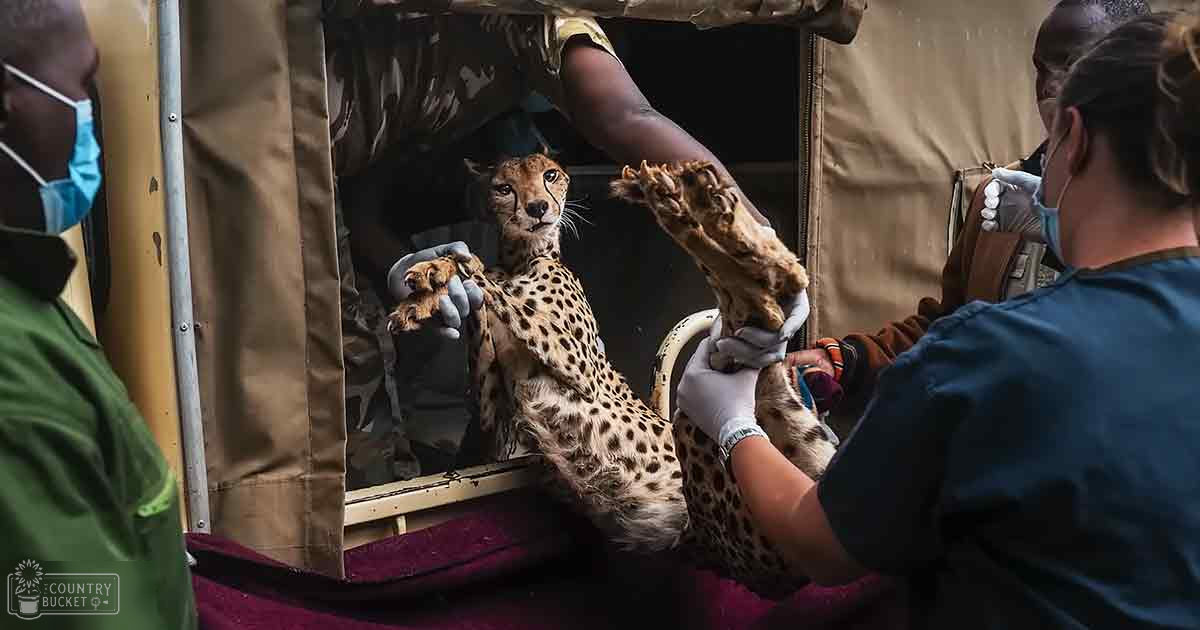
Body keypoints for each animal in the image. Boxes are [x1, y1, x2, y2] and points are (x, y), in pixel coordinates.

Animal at [389, 152, 837, 596]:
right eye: (503, 187)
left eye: (550, 175)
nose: (538, 208)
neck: (522, 259)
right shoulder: (492, 422)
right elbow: (480, 298)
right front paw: (425, 289)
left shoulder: (579, 364)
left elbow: (493, 285)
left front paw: (441, 273)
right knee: (757, 314)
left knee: (758, 292)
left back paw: (689, 200)